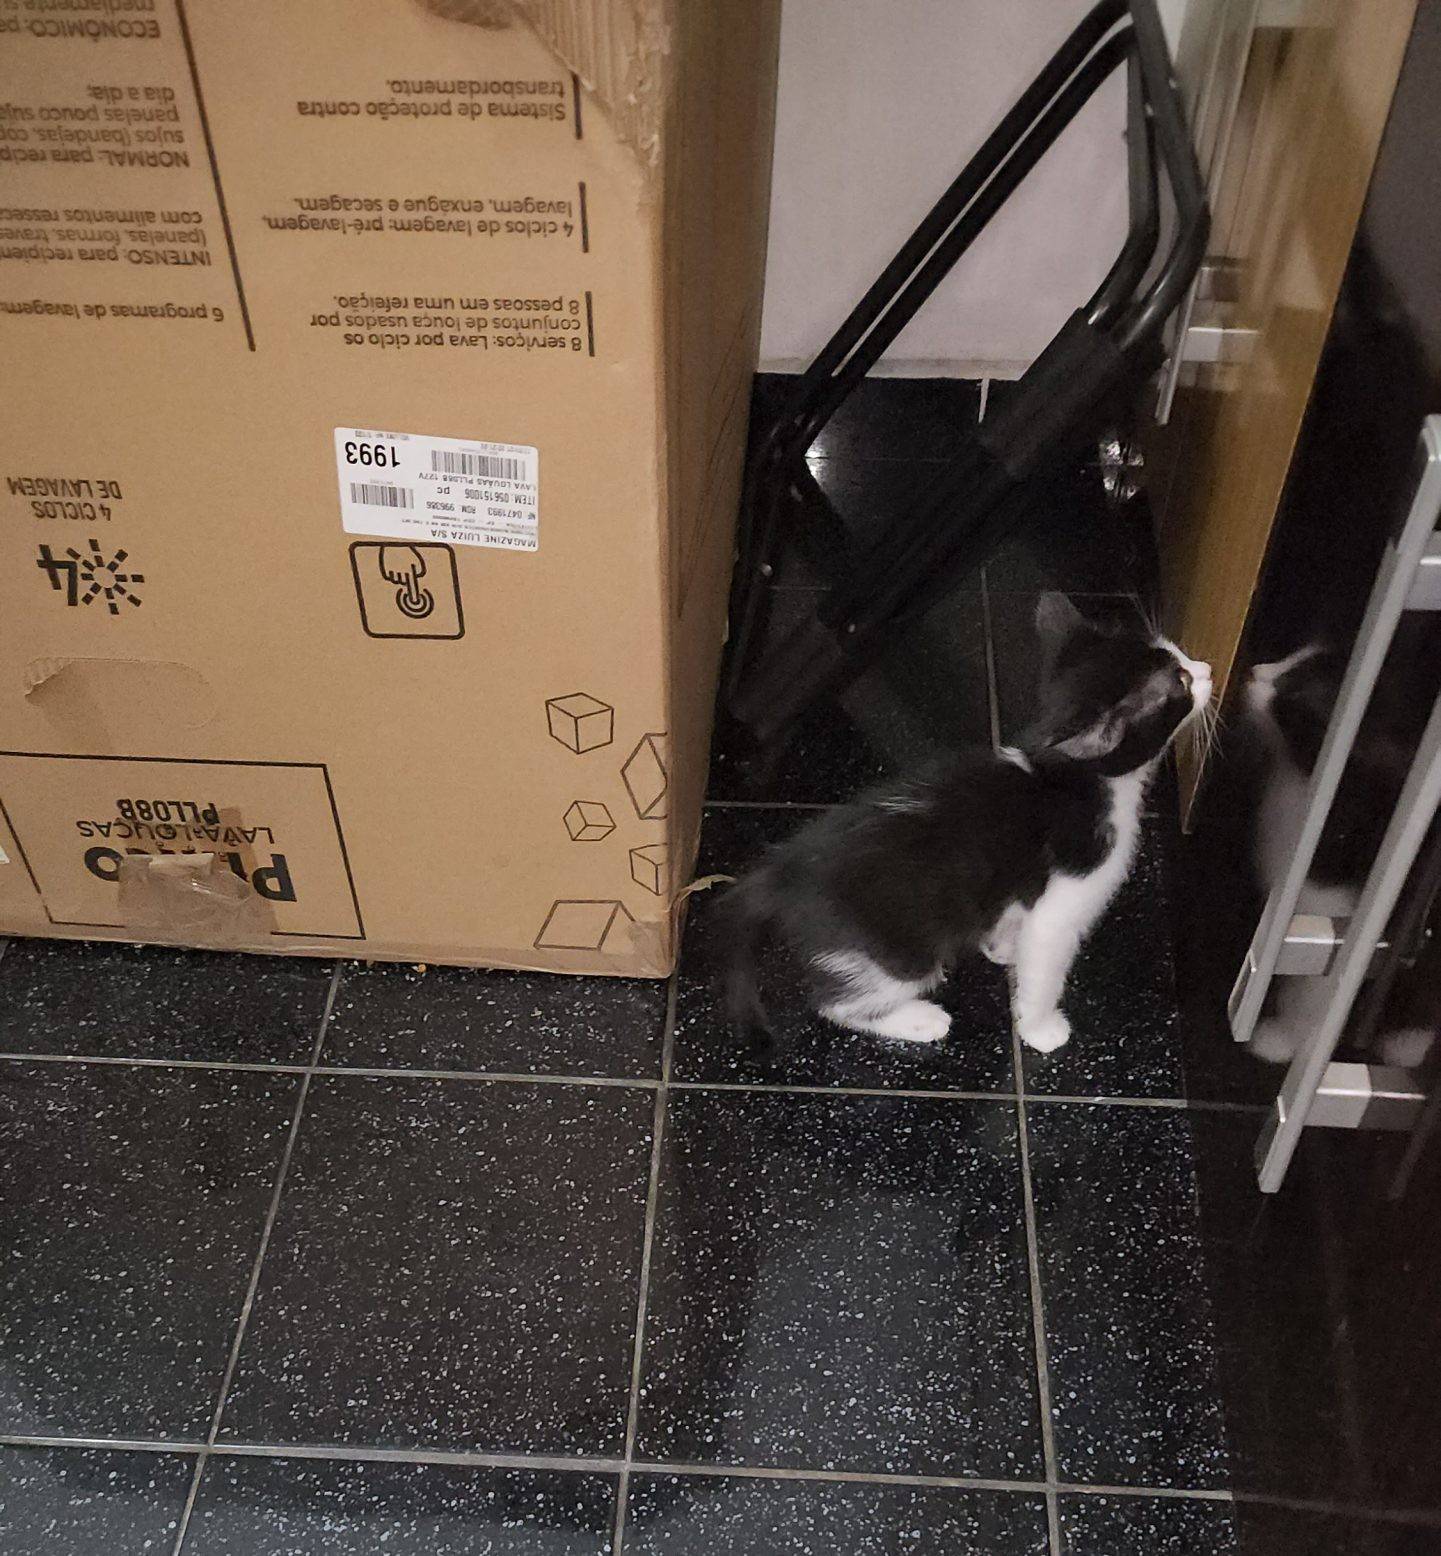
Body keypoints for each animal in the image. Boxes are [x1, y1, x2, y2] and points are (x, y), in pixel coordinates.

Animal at [720, 593, 1211, 1053]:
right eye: (1181, 683)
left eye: (1179, 658)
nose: (1207, 669)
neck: (1073, 777)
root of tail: (783, 872)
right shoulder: (1064, 902)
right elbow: (1044, 967)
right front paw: (1040, 1028)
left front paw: (1004, 948)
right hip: (897, 951)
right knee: (837, 1004)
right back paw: (920, 1019)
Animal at [1243, 639, 1439, 1068]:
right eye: (1295, 654)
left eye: (1295, 693)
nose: (1253, 672)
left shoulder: (1341, 923)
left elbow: (1314, 996)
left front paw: (1283, 1040)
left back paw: (1405, 1045)